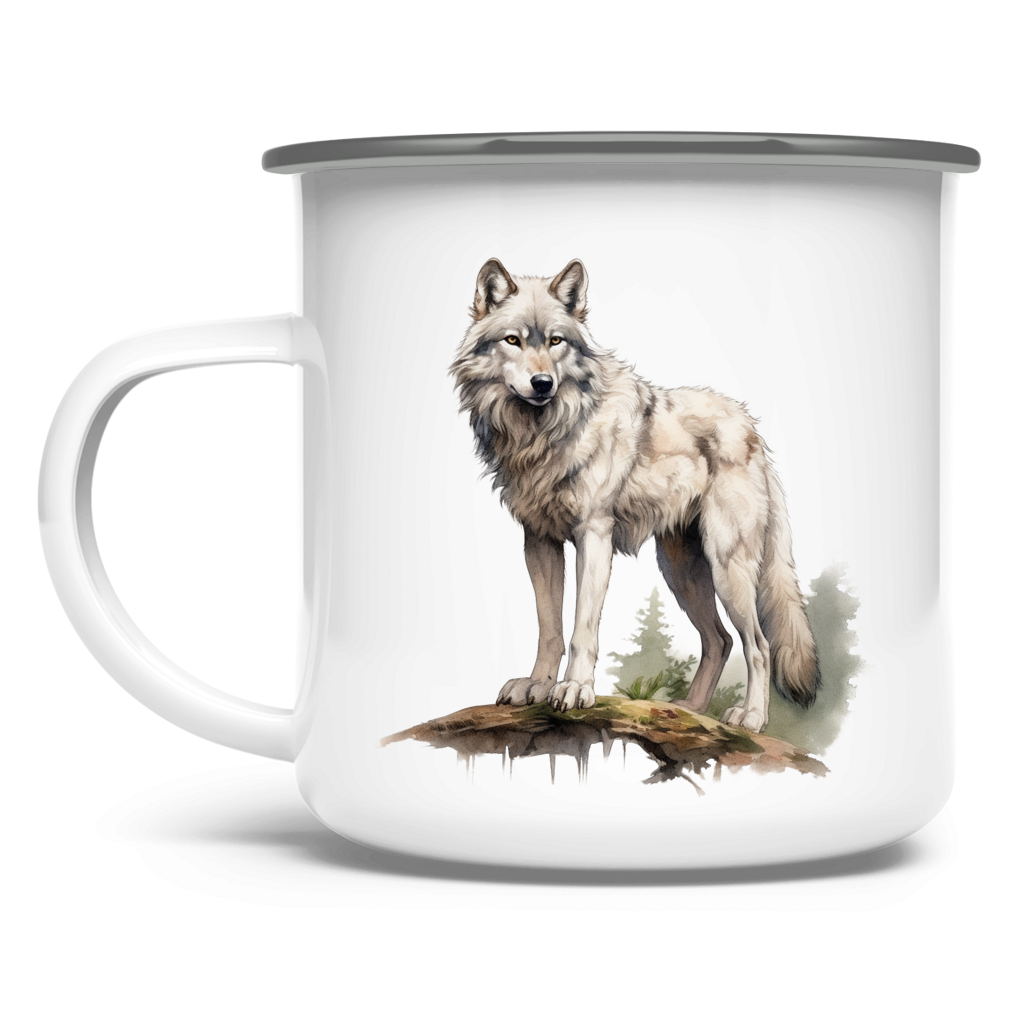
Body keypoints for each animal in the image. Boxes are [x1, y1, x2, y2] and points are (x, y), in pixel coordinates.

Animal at [447, 257, 819, 732]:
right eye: (513, 340)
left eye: (555, 341)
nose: (543, 382)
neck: (542, 434)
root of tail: (753, 426)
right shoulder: (539, 541)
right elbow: (550, 628)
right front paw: (537, 686)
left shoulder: (593, 535)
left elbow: (583, 629)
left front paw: (575, 689)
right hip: (681, 571)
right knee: (719, 641)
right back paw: (689, 711)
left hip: (727, 569)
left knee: (758, 644)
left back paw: (750, 718)